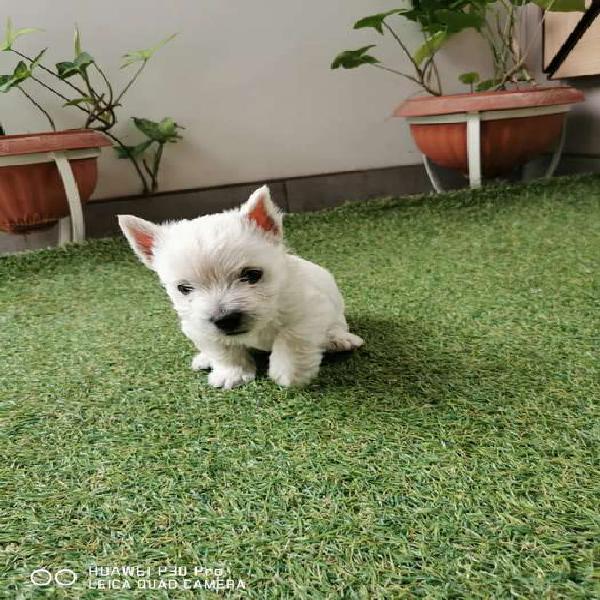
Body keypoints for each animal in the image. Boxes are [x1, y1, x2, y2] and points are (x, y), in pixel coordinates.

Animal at [117, 186, 360, 390]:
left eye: (252, 275)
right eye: (184, 288)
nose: (225, 319)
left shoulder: (307, 311)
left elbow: (291, 339)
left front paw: (288, 374)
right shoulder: (198, 327)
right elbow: (224, 350)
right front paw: (232, 374)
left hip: (335, 310)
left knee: (337, 325)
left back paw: (339, 340)